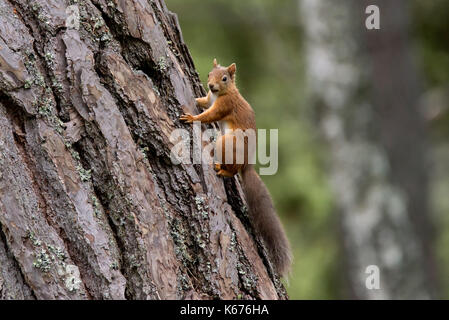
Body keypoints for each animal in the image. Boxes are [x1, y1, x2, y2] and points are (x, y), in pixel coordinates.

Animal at [180, 59, 292, 276]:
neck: (221, 93)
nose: (211, 85)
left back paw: (222, 169)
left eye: (224, 78)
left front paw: (193, 118)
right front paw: (197, 100)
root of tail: (246, 165)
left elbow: (209, 115)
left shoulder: (225, 106)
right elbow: (204, 102)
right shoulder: (210, 99)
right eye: (209, 74)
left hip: (226, 143)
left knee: (231, 171)